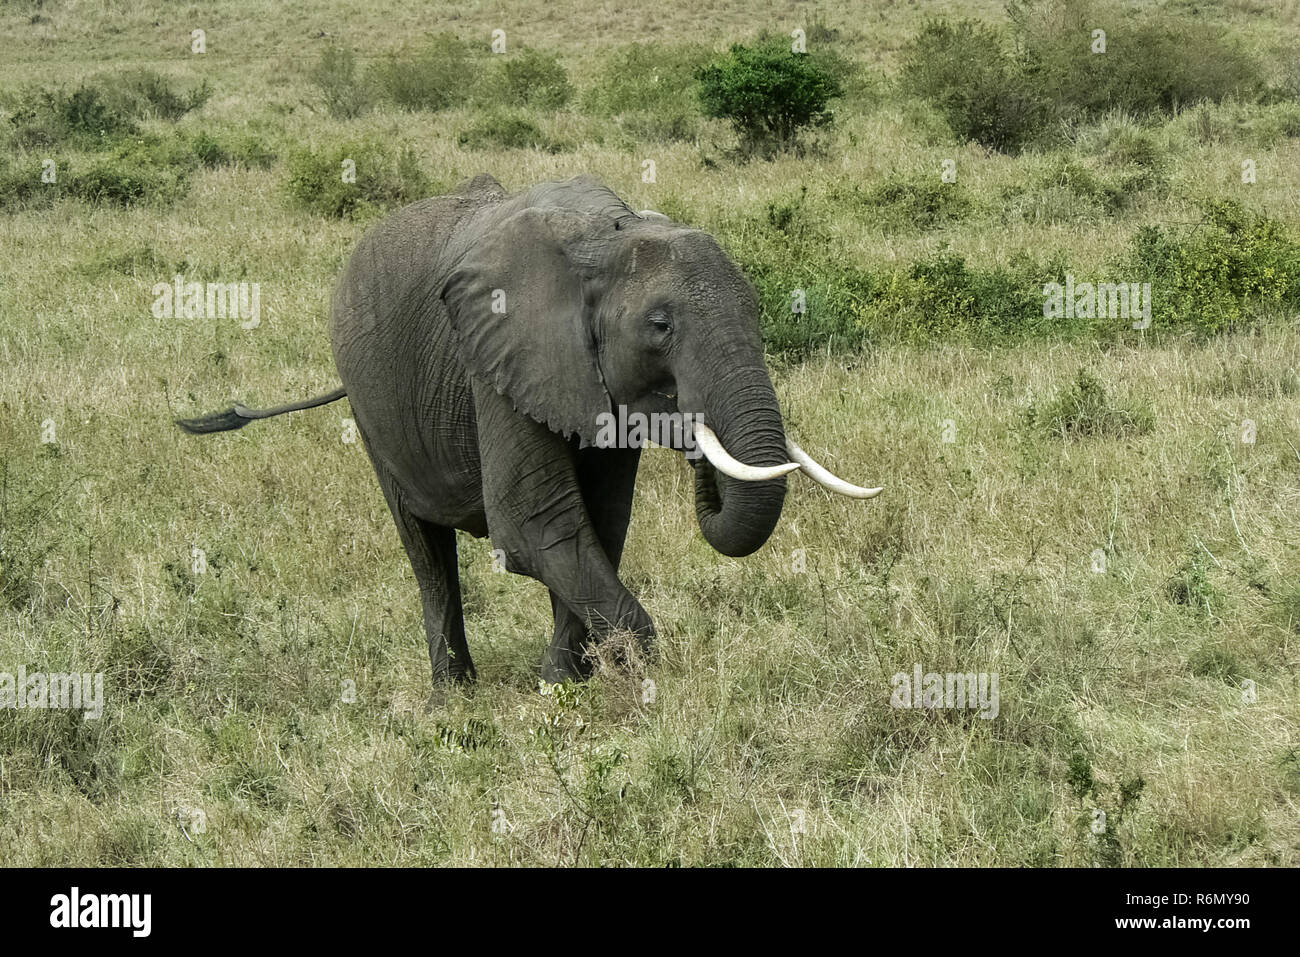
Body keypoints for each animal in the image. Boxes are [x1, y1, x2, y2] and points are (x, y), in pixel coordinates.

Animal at [178, 175, 878, 691]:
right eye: (661, 327)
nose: (697, 458)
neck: (608, 236)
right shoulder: (501, 355)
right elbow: (535, 523)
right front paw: (630, 678)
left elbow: (599, 522)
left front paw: (563, 684)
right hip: (370, 400)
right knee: (424, 547)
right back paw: (453, 696)